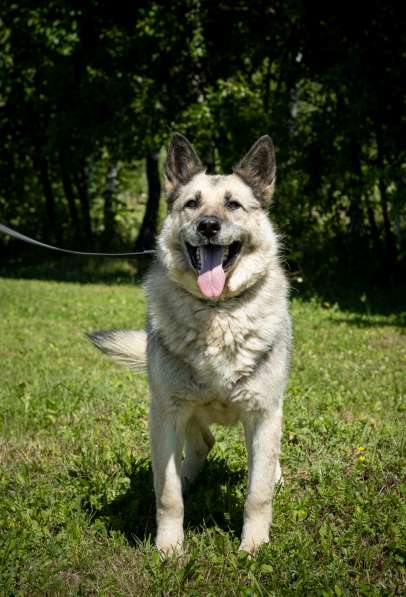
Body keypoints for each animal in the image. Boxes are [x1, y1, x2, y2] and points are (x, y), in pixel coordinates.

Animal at [89, 133, 292, 552]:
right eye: (192, 204)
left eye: (233, 204)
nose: (209, 226)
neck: (216, 313)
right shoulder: (167, 413)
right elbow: (166, 493)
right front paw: (168, 548)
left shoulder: (263, 413)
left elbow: (258, 492)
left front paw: (254, 547)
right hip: (182, 412)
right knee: (202, 444)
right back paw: (187, 477)